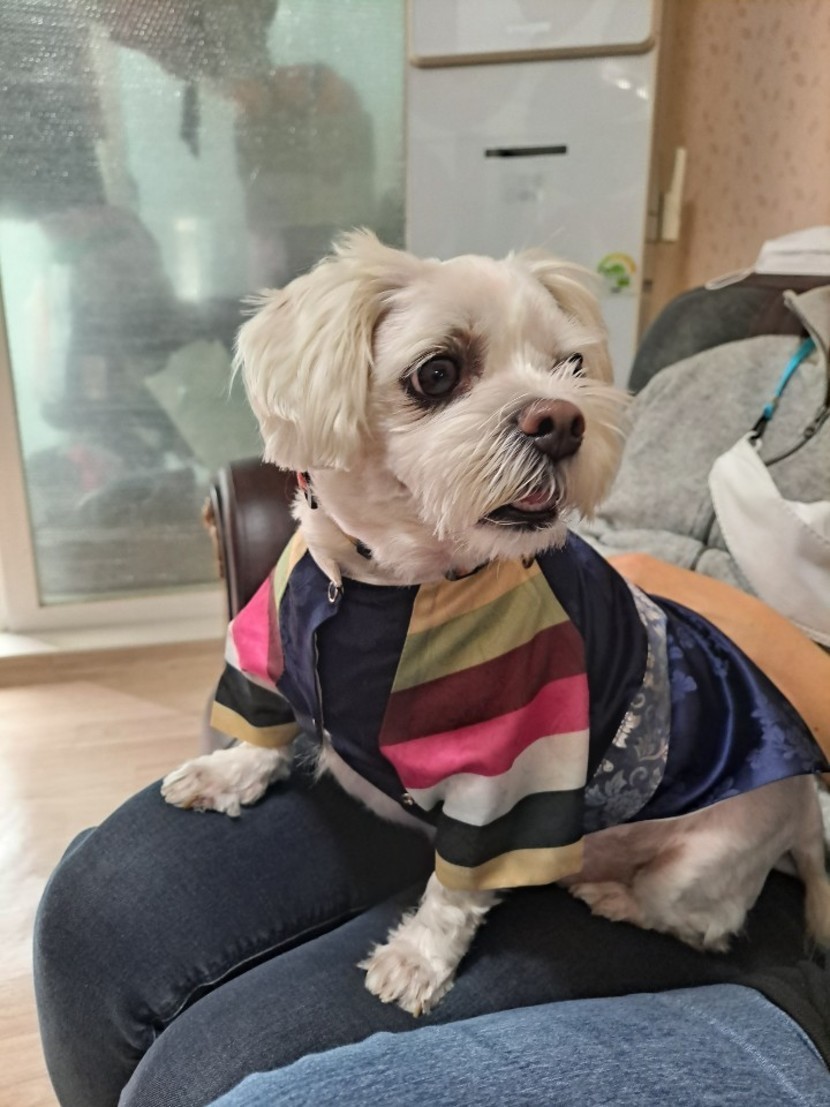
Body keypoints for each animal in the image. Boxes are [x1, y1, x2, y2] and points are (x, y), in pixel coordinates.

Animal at [162, 230, 830, 1016]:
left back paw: (609, 892)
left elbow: (457, 886)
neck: (380, 586)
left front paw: (417, 958)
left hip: (704, 858)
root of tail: (805, 807)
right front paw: (225, 771)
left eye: (572, 366)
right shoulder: (271, 642)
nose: (563, 420)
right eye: (437, 371)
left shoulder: (511, 769)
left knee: (703, 921)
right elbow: (263, 727)